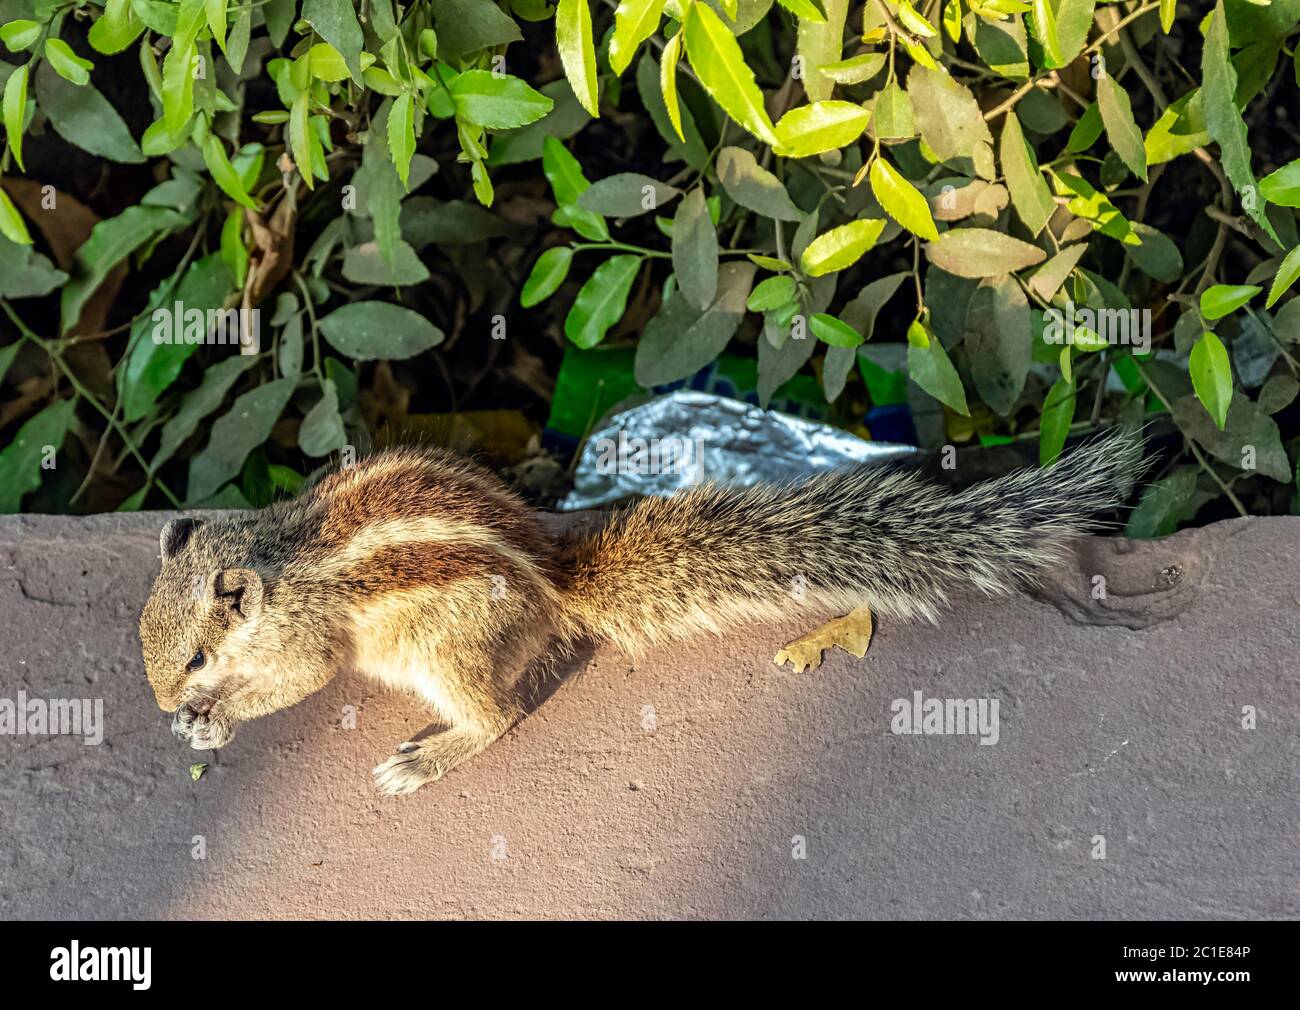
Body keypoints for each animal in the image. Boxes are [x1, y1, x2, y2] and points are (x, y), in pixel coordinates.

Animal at [139, 429, 1142, 795]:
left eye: (193, 657)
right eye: (142, 638)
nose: (158, 705)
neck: (272, 557)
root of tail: (551, 583)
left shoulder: (307, 638)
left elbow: (299, 680)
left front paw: (215, 719)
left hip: (444, 650)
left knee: (498, 716)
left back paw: (429, 757)